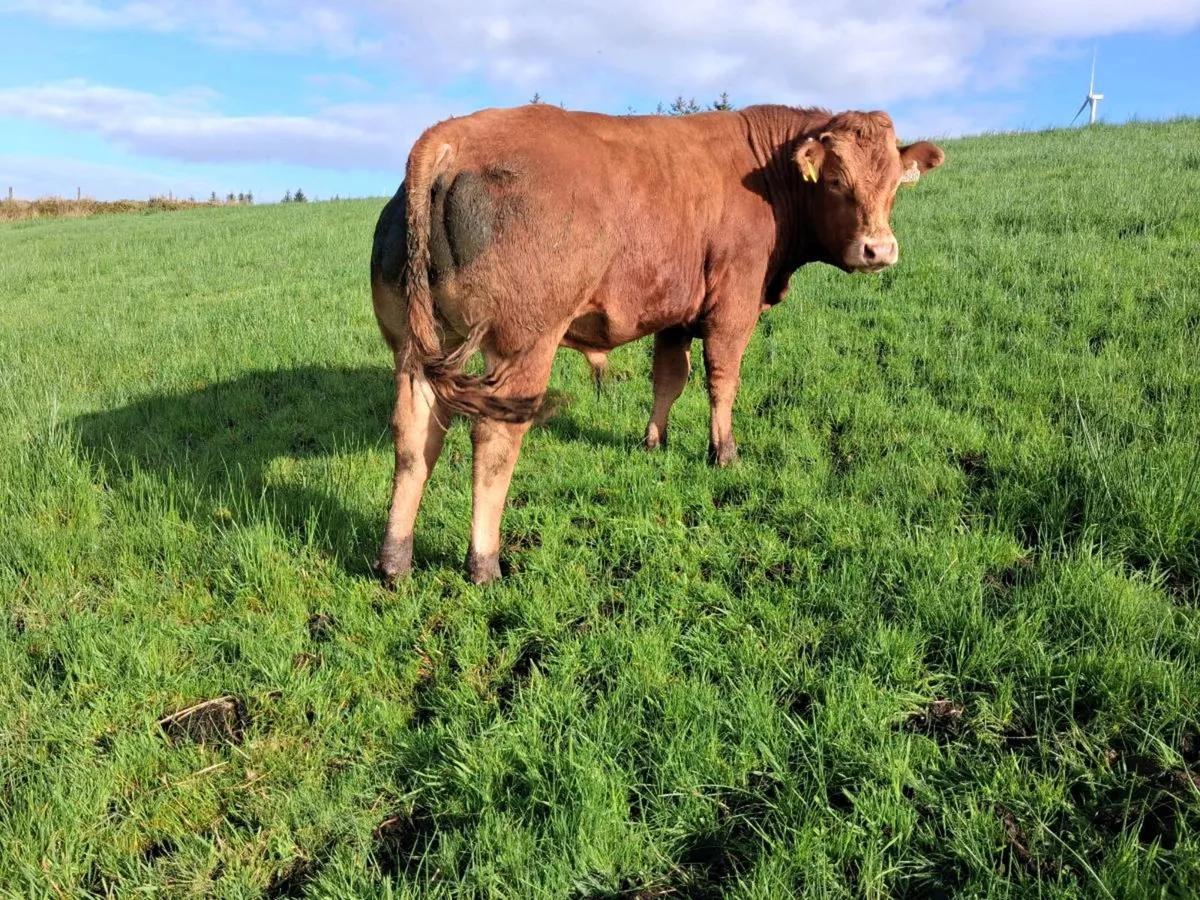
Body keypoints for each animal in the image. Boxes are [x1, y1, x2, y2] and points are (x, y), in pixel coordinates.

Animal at [370, 103, 944, 585]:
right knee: (493, 441)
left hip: (414, 351)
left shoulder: (676, 312)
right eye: (836, 181)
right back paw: (484, 563)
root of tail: (452, 136)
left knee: (414, 440)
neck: (766, 172)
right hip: (520, 350)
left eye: (894, 184)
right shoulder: (732, 305)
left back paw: (395, 562)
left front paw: (654, 441)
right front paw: (724, 453)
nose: (879, 250)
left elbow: (669, 377)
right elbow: (722, 380)